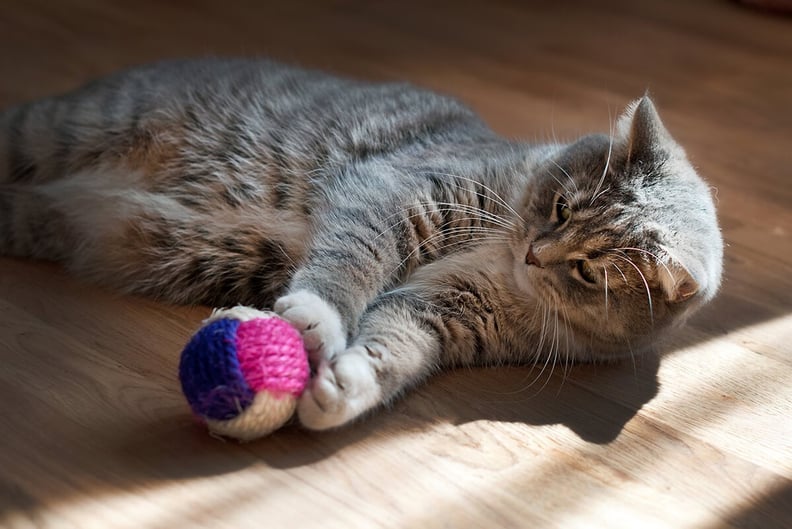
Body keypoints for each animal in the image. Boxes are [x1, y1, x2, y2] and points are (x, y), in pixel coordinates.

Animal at [0, 57, 724, 428]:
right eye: (561, 205)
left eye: (586, 272)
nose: (533, 255)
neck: (501, 259)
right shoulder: (401, 192)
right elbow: (351, 259)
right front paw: (315, 317)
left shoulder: (446, 310)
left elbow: (394, 347)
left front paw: (340, 389)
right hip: (62, 129)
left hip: (40, 217)